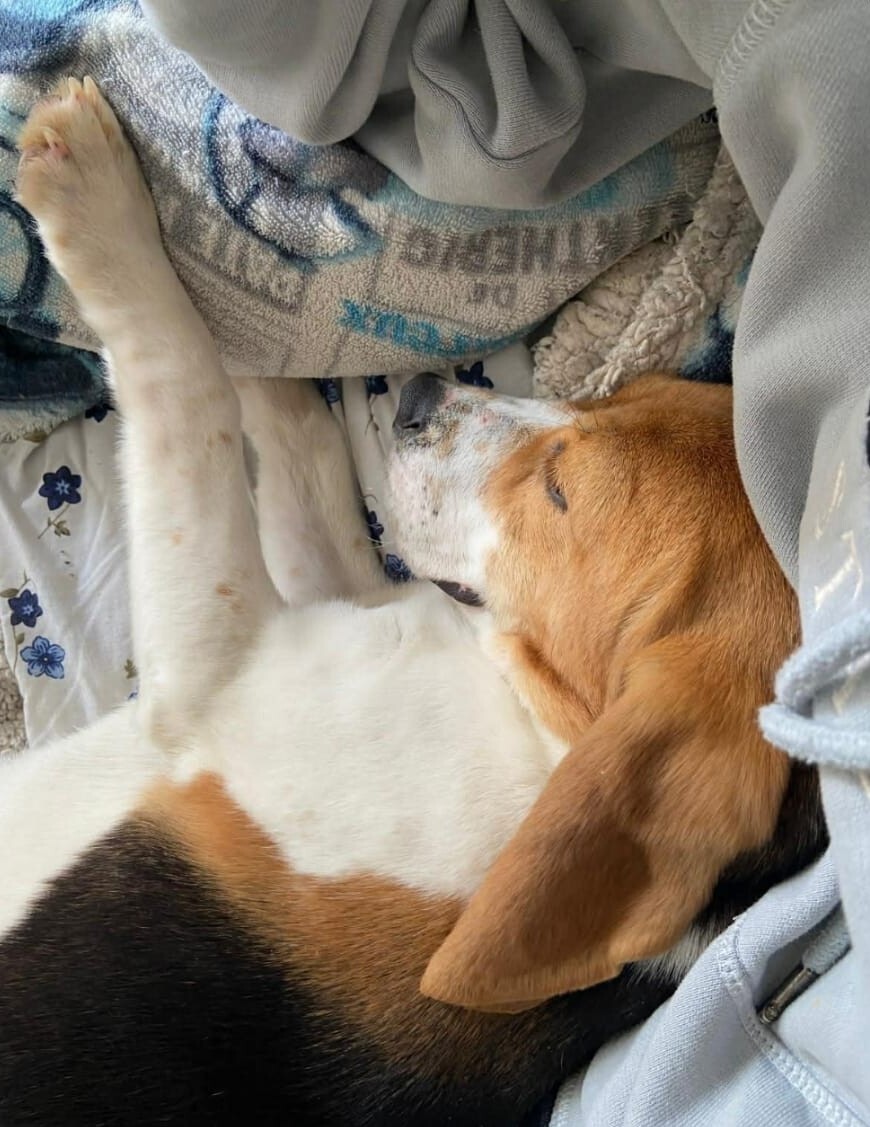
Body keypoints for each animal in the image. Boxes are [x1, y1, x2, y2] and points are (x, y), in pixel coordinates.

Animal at [0, 79, 825, 1126]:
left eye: (559, 491)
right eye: (614, 395)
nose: (420, 394)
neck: (536, 729)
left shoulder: (222, 661)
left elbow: (190, 393)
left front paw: (94, 200)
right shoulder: (335, 592)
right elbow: (310, 471)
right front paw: (279, 362)